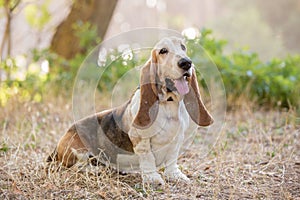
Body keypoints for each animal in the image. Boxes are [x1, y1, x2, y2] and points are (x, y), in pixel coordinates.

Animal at [47, 36, 213, 186]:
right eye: (163, 51)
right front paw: (153, 178)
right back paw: (94, 170)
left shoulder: (176, 139)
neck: (168, 103)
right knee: (75, 166)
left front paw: (175, 175)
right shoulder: (141, 139)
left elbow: (172, 160)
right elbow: (148, 158)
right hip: (79, 152)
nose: (186, 63)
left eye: (183, 47)